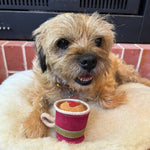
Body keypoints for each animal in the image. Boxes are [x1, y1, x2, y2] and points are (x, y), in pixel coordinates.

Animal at [22, 12, 150, 138]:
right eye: (62, 42)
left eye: (98, 40)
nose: (89, 61)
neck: (70, 87)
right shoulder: (36, 90)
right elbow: (38, 102)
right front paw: (34, 124)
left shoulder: (107, 77)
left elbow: (105, 99)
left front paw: (117, 96)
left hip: (124, 71)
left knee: (138, 78)